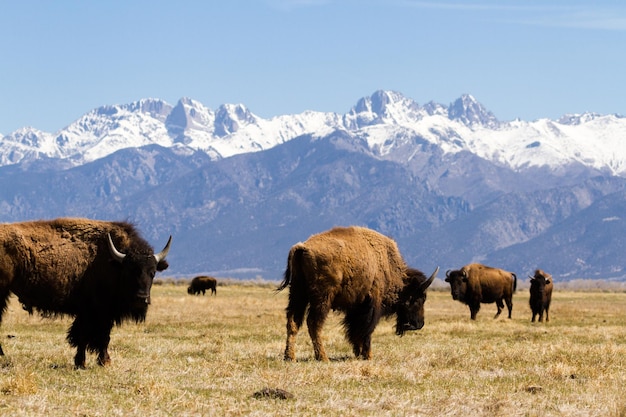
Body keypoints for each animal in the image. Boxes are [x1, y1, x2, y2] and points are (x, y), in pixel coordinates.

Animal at [0, 218, 171, 368]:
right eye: (130, 271)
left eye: (153, 272)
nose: (141, 299)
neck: (113, 263)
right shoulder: (94, 312)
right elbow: (92, 336)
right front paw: (90, 362)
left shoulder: (100, 314)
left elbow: (96, 336)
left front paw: (95, 362)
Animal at [276, 224, 436, 360]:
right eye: (418, 299)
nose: (418, 324)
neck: (388, 267)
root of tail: (302, 247)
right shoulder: (371, 304)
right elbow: (365, 330)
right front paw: (368, 355)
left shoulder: (356, 307)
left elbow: (354, 330)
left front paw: (358, 353)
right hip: (322, 298)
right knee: (313, 323)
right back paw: (323, 357)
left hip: (297, 293)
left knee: (293, 322)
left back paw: (290, 357)